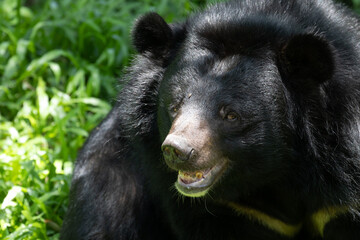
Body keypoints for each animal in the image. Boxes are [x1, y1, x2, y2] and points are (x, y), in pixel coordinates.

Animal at [60, 0, 360, 238]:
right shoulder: (230, 212)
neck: (280, 169)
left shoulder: (342, 193)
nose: (177, 151)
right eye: (175, 105)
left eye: (231, 115)